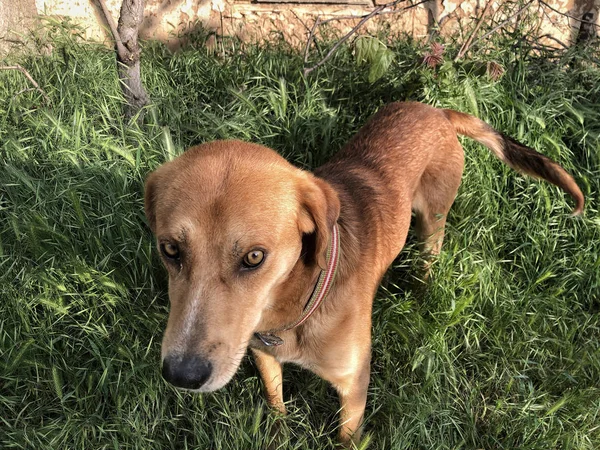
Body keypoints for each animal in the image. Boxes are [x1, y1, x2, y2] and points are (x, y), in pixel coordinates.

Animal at [143, 103, 584, 446]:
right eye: (170, 250)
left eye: (254, 257)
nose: (181, 375)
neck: (293, 308)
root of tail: (437, 111)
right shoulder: (263, 355)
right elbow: (276, 400)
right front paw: (278, 431)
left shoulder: (354, 384)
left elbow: (346, 436)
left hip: (432, 223)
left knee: (429, 256)